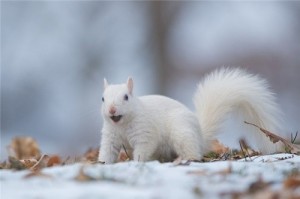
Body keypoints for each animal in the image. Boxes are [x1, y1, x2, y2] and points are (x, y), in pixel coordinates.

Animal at [98, 67, 284, 164]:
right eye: (102, 98)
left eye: (126, 97)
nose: (112, 110)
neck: (121, 125)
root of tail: (200, 137)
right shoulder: (110, 137)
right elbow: (107, 152)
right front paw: (103, 163)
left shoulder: (145, 133)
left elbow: (143, 150)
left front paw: (136, 162)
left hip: (182, 133)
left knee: (193, 153)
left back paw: (184, 159)